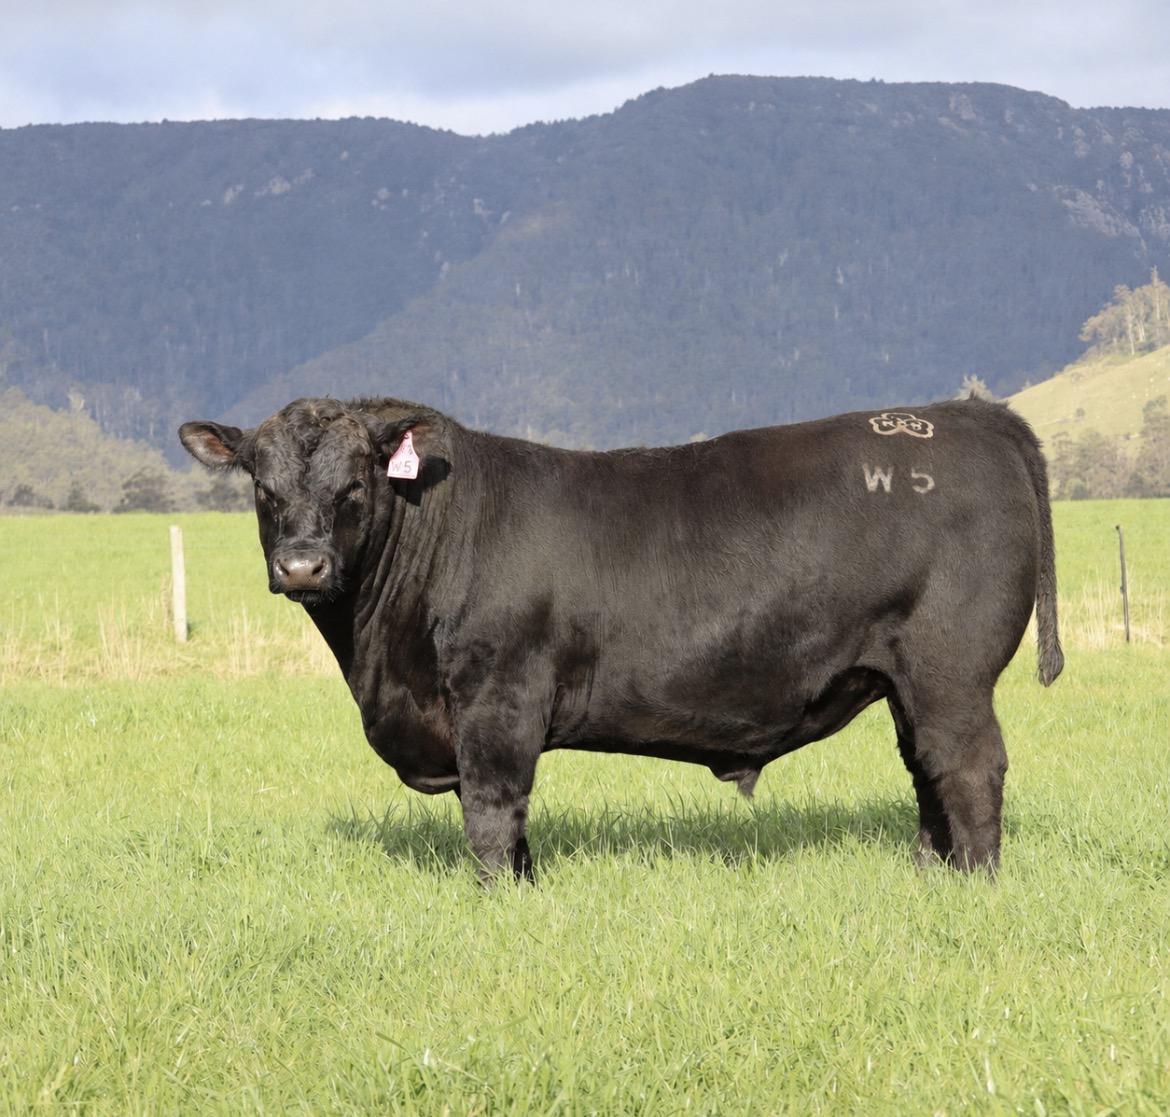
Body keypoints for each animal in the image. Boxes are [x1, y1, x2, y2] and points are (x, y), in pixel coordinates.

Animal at [179, 396, 1062, 881]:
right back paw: (931, 876)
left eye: (356, 481)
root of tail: (970, 414)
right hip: (906, 681)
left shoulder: (499, 697)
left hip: (951, 672)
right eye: (261, 485)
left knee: (968, 768)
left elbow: (493, 810)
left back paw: (977, 885)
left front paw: (497, 900)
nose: (303, 564)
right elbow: (508, 821)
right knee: (927, 773)